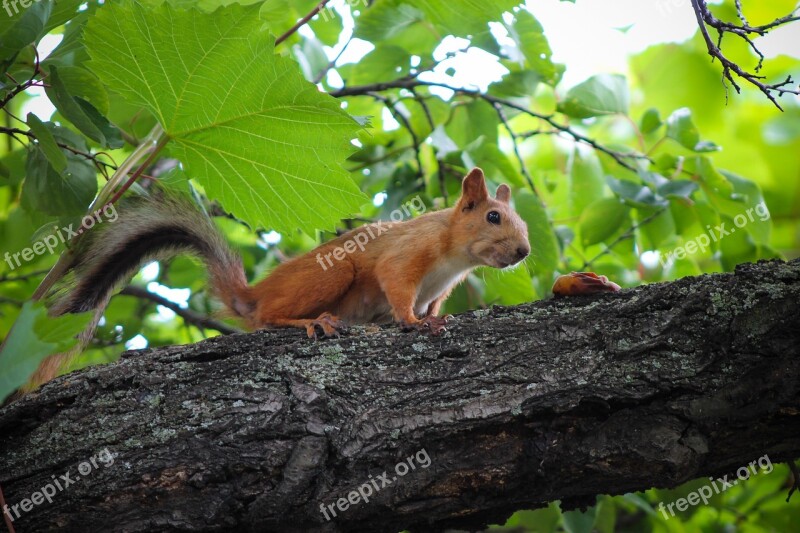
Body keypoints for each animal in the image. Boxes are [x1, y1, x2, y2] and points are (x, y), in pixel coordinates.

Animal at [25, 169, 528, 390]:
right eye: (493, 216)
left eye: (522, 222)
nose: (524, 251)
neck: (454, 257)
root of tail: (249, 294)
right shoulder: (406, 256)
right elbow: (398, 288)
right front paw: (413, 322)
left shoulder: (441, 288)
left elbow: (433, 304)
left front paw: (437, 318)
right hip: (332, 274)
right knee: (267, 317)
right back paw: (311, 322)